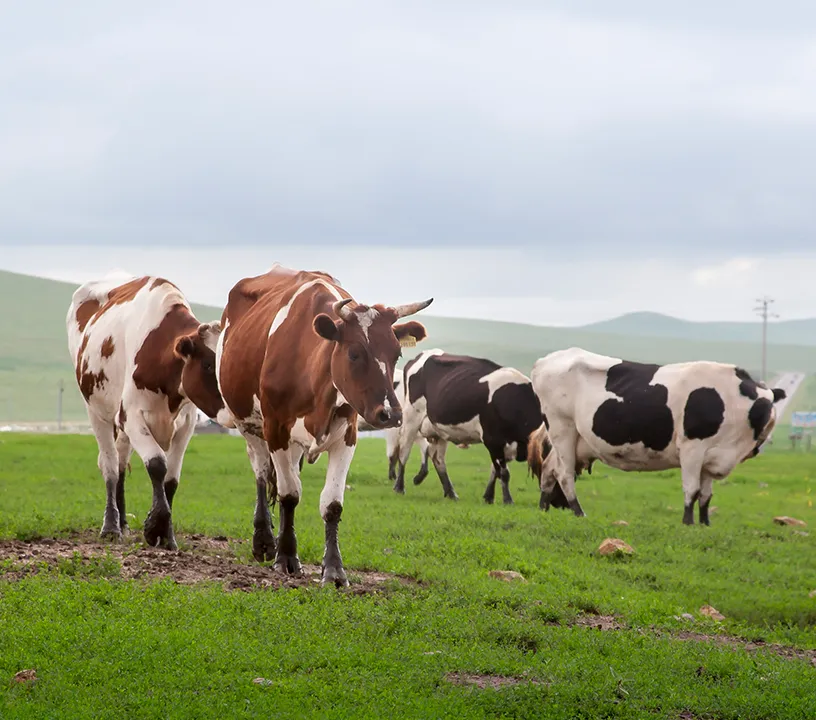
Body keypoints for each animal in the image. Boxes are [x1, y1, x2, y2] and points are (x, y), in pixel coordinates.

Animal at [66, 275, 227, 549]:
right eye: (207, 364)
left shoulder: (186, 425)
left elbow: (171, 479)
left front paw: (167, 535)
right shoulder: (131, 417)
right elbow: (157, 465)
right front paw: (155, 527)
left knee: (121, 463)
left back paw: (123, 522)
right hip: (97, 412)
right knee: (110, 465)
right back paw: (111, 526)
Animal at [215, 264, 431, 587]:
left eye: (397, 354)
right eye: (354, 353)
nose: (390, 414)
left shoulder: (347, 436)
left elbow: (332, 504)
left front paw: (333, 570)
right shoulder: (275, 429)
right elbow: (289, 494)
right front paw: (286, 558)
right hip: (247, 424)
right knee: (262, 472)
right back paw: (264, 540)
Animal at [393, 349, 568, 505]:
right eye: (556, 473)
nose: (563, 504)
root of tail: (421, 355)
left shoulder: (504, 444)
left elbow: (494, 471)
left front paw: (488, 497)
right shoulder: (493, 440)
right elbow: (503, 472)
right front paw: (507, 500)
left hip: (439, 430)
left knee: (438, 459)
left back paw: (451, 493)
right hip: (411, 418)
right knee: (404, 451)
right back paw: (399, 487)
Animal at [527, 347, 787, 525]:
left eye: (771, 404)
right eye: (763, 406)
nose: (769, 422)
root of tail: (545, 361)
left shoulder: (711, 457)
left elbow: (706, 495)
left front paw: (705, 524)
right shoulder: (692, 449)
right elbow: (692, 490)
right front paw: (688, 523)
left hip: (573, 441)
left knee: (549, 469)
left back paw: (543, 508)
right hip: (562, 428)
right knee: (564, 474)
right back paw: (579, 512)